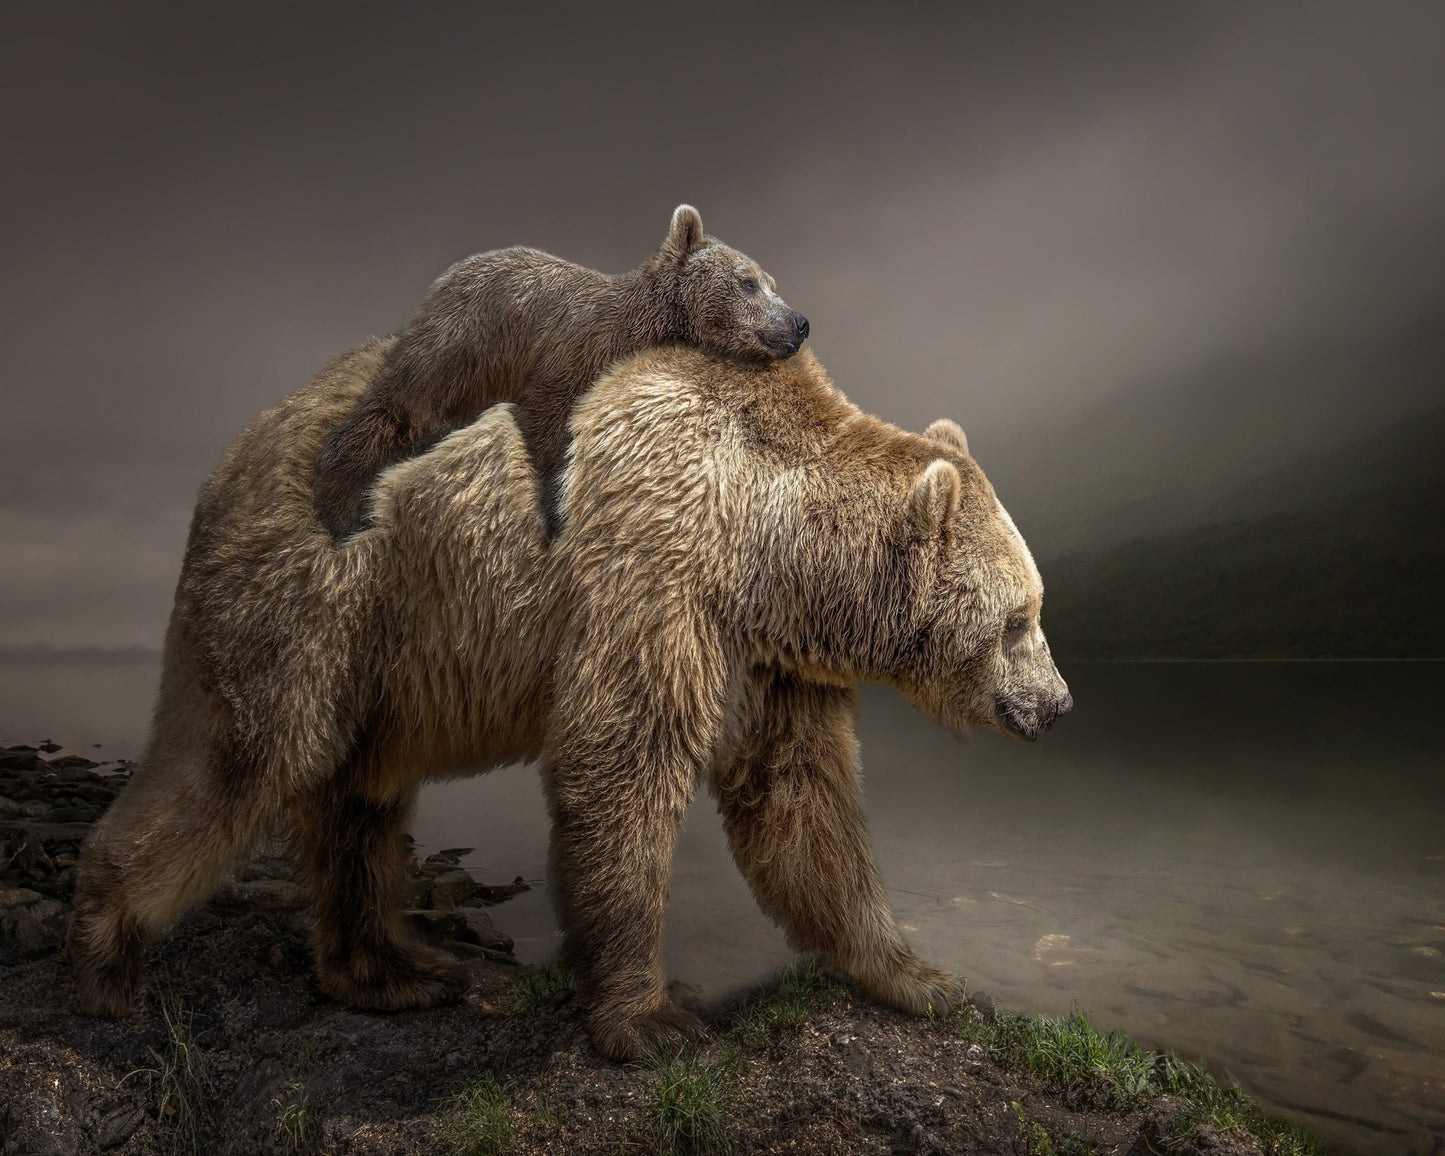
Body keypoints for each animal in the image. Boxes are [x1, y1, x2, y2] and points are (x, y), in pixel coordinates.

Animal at [69, 341, 1072, 1061]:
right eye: (1017, 619)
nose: (1058, 704)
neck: (769, 548)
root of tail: (231, 454)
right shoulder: (653, 572)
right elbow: (622, 766)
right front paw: (653, 1019)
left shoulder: (773, 661)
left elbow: (802, 803)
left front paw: (920, 976)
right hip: (315, 595)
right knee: (239, 760)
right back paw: (106, 951)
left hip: (382, 654)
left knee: (358, 800)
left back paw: (391, 969)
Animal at [311, 204, 809, 538]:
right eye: (748, 281)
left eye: (772, 283)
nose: (799, 322)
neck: (639, 329)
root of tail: (445, 279)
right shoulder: (563, 359)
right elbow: (548, 430)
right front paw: (555, 519)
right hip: (459, 348)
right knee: (399, 407)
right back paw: (340, 505)